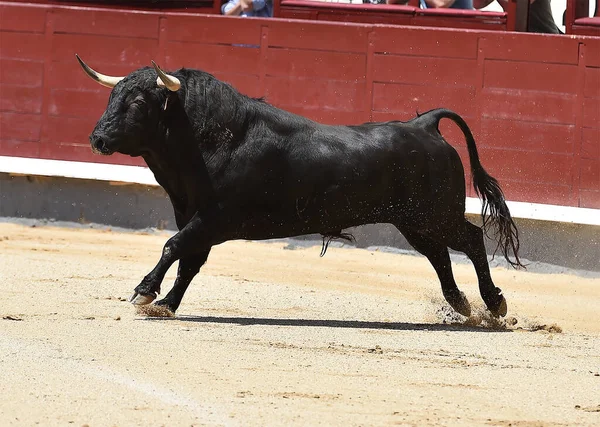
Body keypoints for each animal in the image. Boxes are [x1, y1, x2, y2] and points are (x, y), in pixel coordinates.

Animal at [78, 56, 520, 318]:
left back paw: (494, 303)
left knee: (471, 240)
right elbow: (189, 261)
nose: (97, 138)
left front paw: (144, 292)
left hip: (434, 215)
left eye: (138, 103)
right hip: (414, 222)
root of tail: (424, 124)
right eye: (112, 97)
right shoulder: (193, 216)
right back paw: (462, 304)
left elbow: (174, 247)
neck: (211, 138)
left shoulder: (213, 218)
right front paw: (167, 304)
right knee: (440, 255)